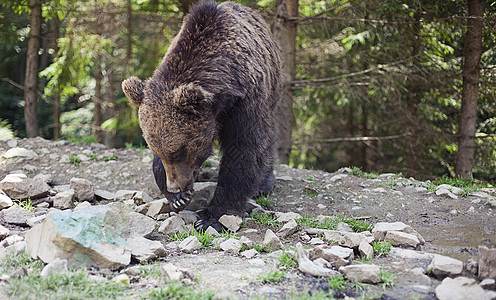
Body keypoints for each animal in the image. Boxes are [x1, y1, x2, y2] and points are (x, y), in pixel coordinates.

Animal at [122, 1, 280, 231]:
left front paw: (212, 216)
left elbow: (245, 148)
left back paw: (263, 184)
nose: (176, 186)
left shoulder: (246, 100)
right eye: (156, 149)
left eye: (178, 151)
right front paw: (177, 198)